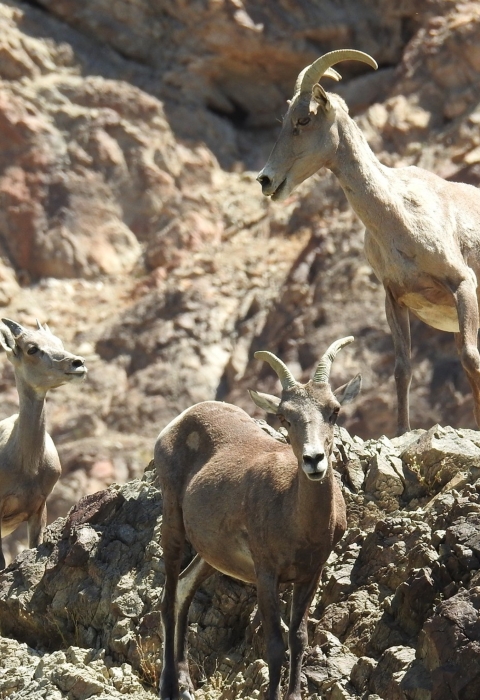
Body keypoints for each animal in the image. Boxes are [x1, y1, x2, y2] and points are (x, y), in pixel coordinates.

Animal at [155, 336, 361, 700]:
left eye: (334, 410)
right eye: (284, 417)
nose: (313, 460)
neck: (299, 522)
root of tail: (178, 422)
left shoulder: (310, 575)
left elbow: (299, 638)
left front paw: (294, 695)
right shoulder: (266, 574)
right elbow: (276, 644)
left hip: (211, 555)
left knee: (183, 590)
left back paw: (186, 684)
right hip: (172, 524)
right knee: (167, 600)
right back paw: (169, 687)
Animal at [257, 47, 480, 434]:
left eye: (303, 120)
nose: (265, 180)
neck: (398, 217)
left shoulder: (462, 284)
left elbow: (470, 358)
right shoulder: (395, 299)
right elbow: (402, 369)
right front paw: (402, 431)